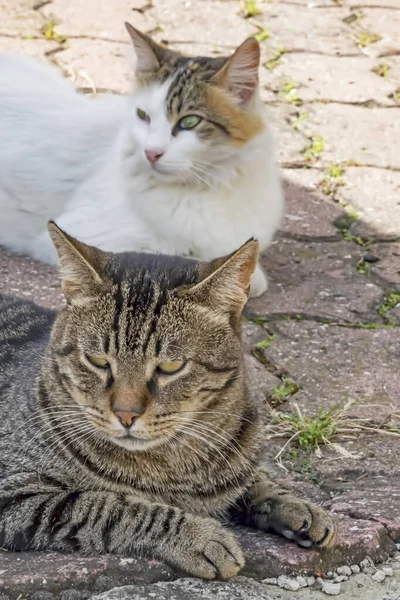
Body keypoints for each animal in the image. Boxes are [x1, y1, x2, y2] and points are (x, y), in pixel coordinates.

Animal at [0, 224, 336, 576]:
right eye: (98, 361)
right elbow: (110, 506)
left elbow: (253, 479)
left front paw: (296, 504)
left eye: (171, 366)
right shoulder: (16, 495)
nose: (126, 414)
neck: (176, 465)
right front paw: (199, 535)